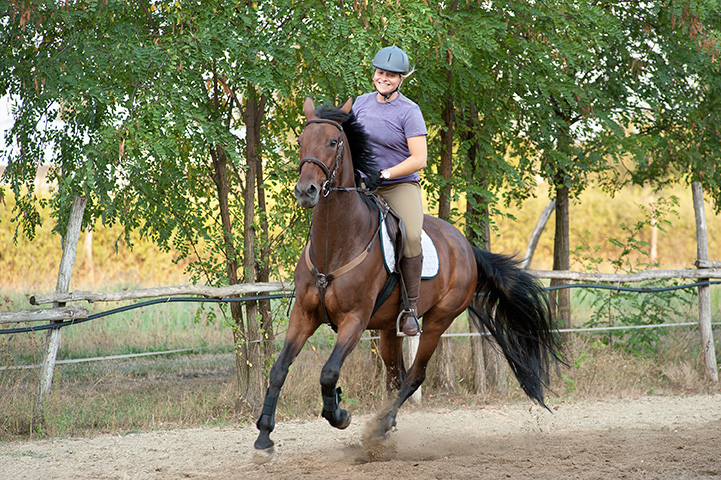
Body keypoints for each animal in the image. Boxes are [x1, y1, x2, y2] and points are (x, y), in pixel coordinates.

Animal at [253, 96, 564, 462]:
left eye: (332, 142)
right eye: (301, 141)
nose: (306, 191)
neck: (336, 243)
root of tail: (466, 247)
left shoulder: (354, 320)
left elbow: (329, 373)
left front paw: (339, 413)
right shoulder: (304, 315)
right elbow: (278, 370)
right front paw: (264, 439)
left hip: (437, 321)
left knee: (414, 375)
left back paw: (378, 430)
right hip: (389, 329)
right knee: (395, 377)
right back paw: (384, 429)